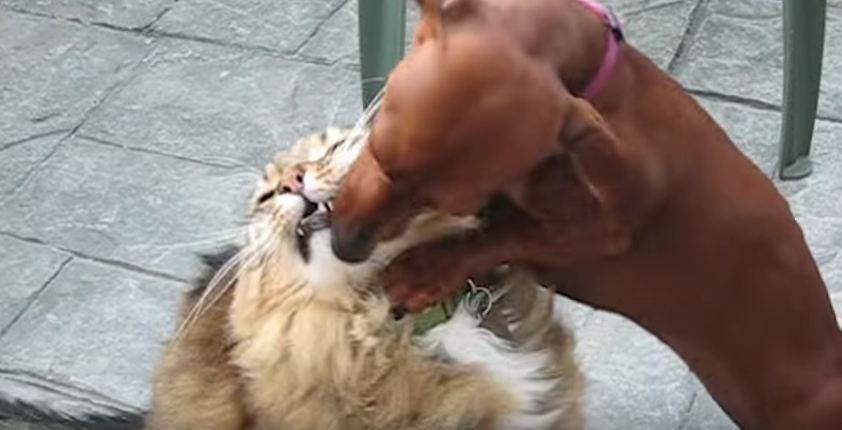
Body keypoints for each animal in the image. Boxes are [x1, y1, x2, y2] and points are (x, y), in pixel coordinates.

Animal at [324, 0, 840, 428]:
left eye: (445, 202)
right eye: (378, 151)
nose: (344, 245)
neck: (596, 72)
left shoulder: (600, 232)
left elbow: (500, 234)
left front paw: (422, 271)